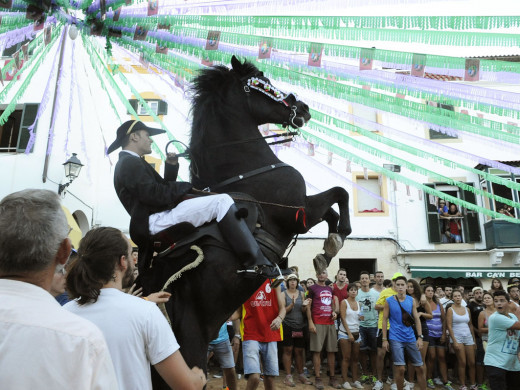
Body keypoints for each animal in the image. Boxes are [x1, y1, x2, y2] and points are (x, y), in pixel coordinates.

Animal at [147, 55, 350, 386]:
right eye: (262, 83)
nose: (303, 108)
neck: (245, 167)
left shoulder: (302, 209)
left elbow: (333, 209)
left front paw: (326, 252)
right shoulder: (298, 212)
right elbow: (339, 195)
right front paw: (335, 241)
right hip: (189, 355)